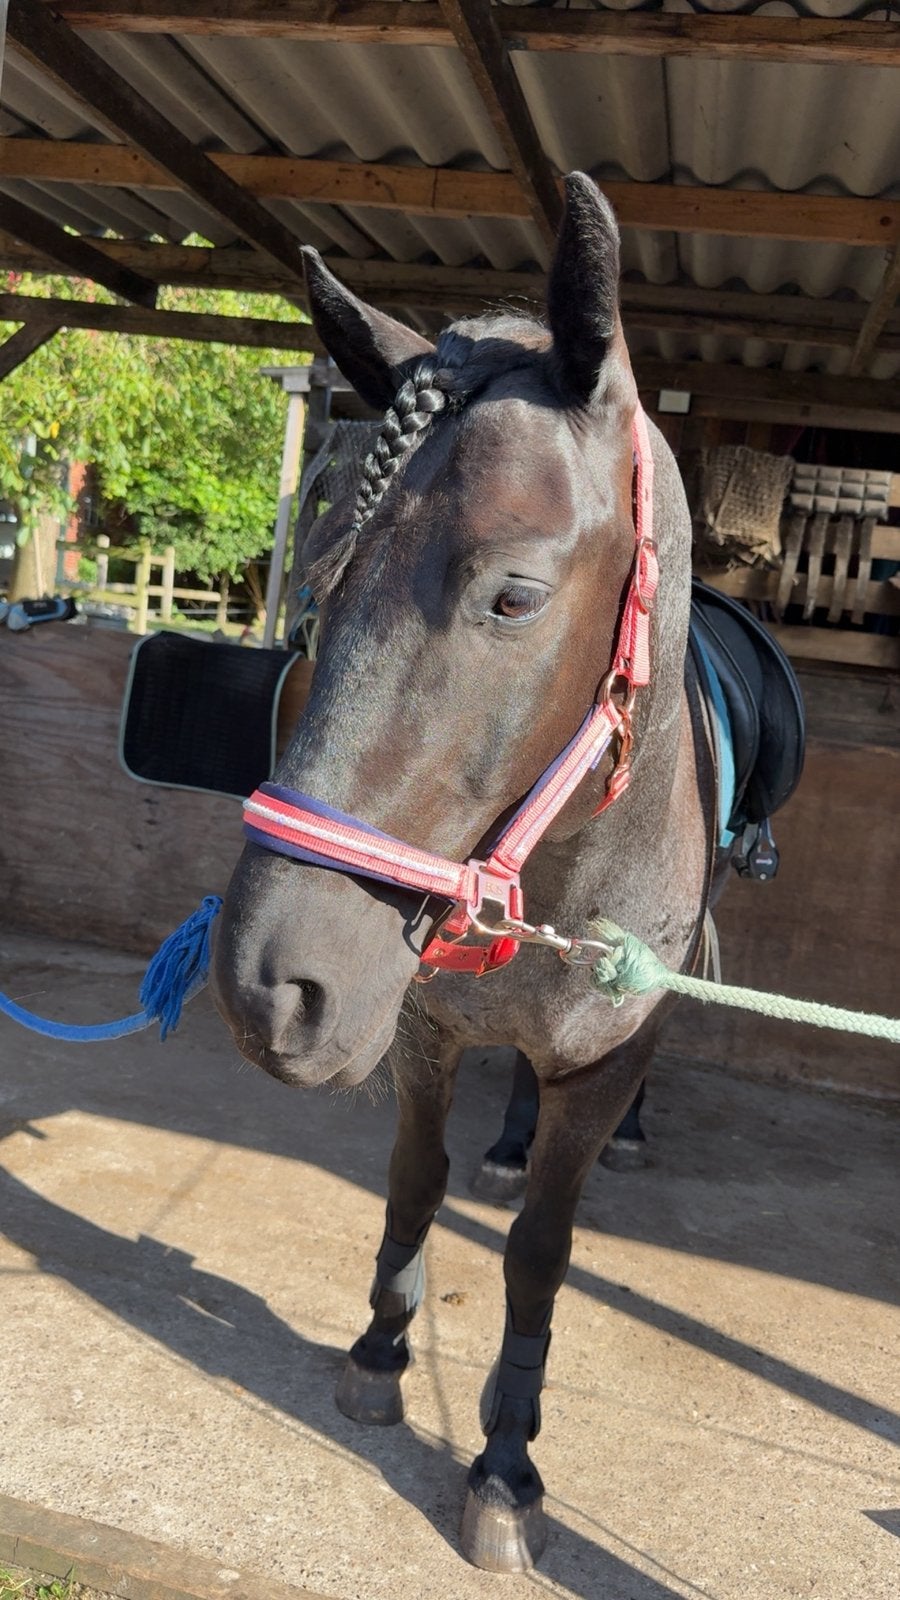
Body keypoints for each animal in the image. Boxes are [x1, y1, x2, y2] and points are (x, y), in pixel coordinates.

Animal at [212, 172, 716, 1573]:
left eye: (515, 596)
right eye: (321, 584)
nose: (270, 983)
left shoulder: (601, 1062)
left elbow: (541, 1251)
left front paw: (505, 1461)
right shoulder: (422, 1031)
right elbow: (412, 1181)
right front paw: (384, 1350)